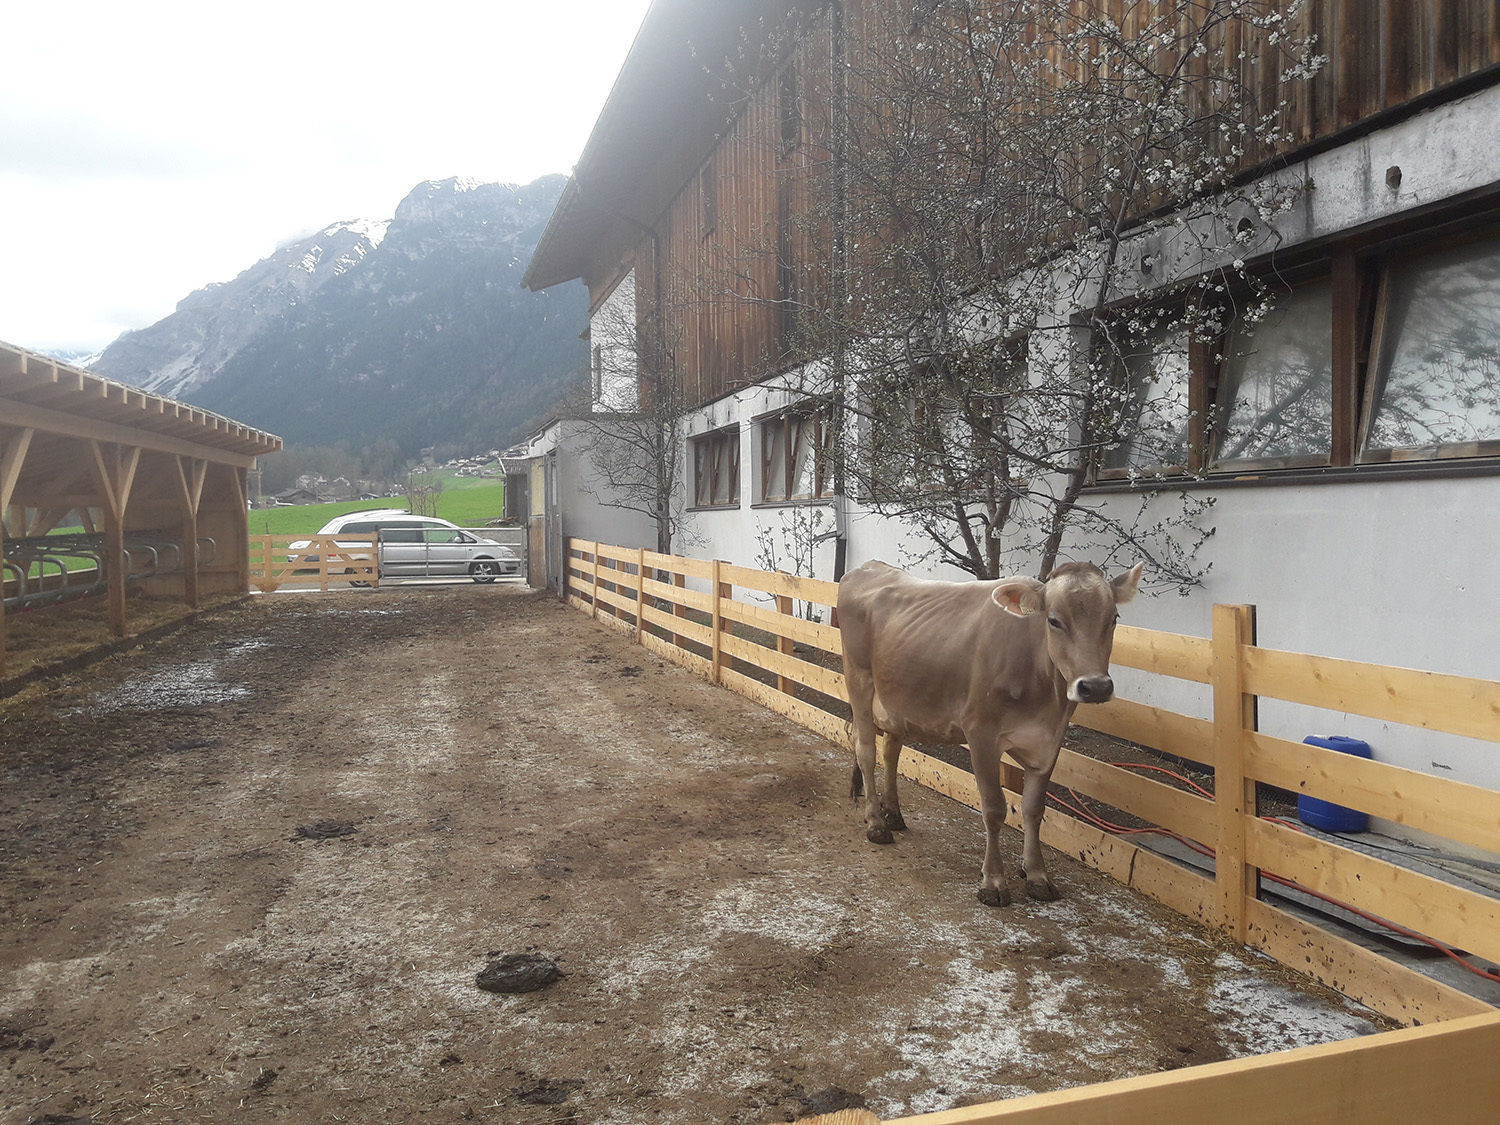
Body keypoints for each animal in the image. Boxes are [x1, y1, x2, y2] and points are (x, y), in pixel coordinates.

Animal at [840, 561, 1140, 906]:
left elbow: (1034, 809)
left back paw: (894, 814)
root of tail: (868, 567)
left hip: (898, 699)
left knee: (891, 751)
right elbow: (995, 808)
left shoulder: (1049, 741)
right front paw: (993, 882)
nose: (1096, 687)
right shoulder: (981, 733)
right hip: (859, 681)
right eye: (1053, 620)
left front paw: (1037, 875)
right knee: (866, 751)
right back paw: (876, 824)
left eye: (1114, 618)